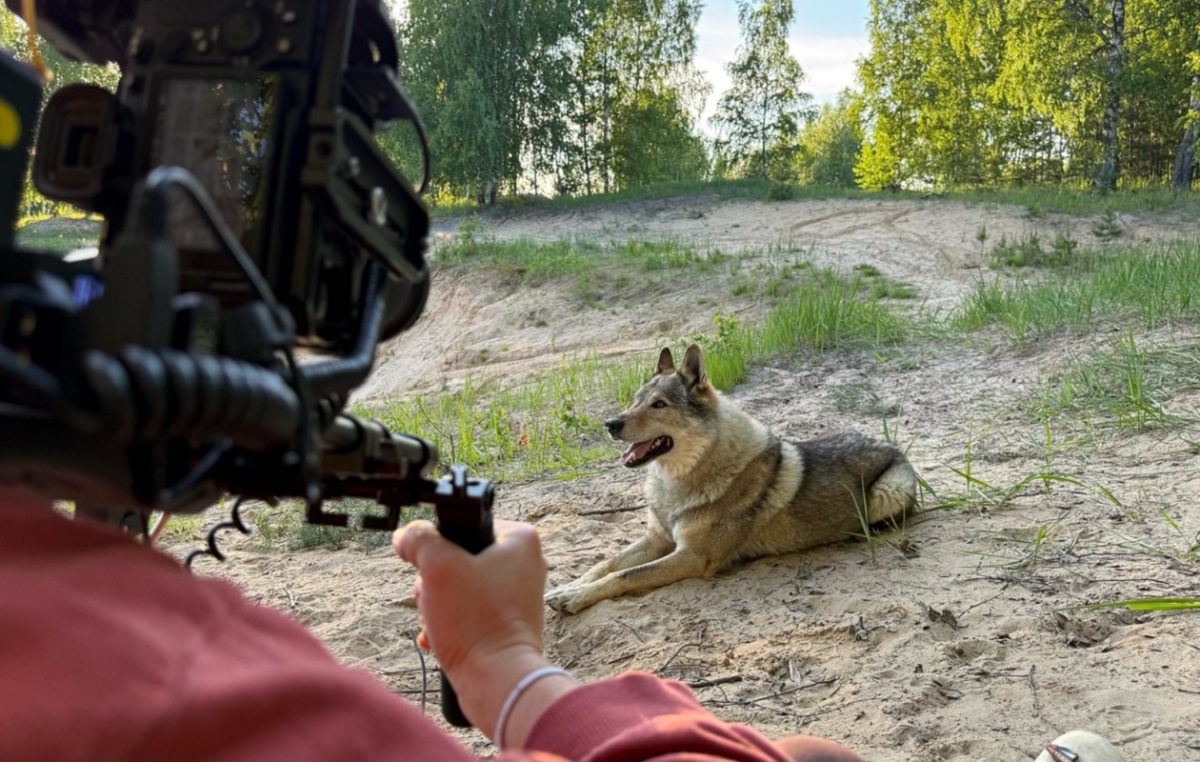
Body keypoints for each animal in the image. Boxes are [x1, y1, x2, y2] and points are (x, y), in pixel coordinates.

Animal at [544, 343, 918, 614]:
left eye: (659, 405)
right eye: (634, 401)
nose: (610, 424)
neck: (676, 482)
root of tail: (889, 444)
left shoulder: (692, 556)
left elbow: (623, 574)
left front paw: (575, 598)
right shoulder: (657, 539)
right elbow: (605, 564)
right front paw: (567, 588)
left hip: (886, 495)